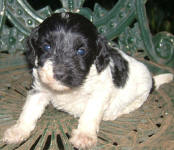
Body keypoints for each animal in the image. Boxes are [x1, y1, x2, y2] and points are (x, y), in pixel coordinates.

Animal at [3, 12, 173, 148]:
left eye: (81, 51)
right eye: (47, 47)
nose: (60, 73)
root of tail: (152, 80)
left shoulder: (99, 93)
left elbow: (90, 113)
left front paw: (84, 135)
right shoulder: (39, 89)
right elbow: (29, 110)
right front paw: (18, 131)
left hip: (140, 92)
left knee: (133, 104)